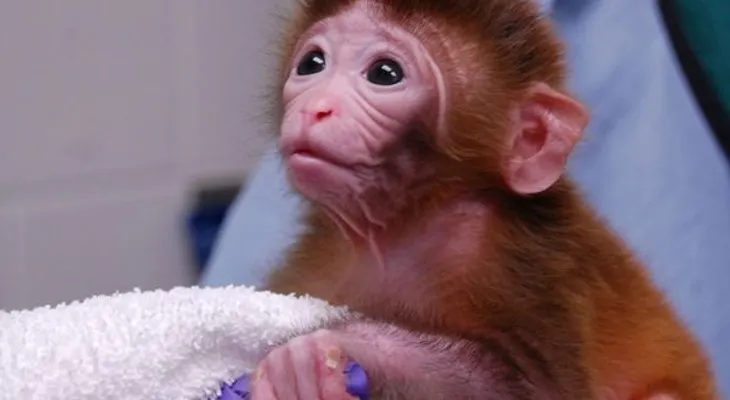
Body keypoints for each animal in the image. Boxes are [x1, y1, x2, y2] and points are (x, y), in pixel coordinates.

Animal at [248, 0, 720, 399]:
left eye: (384, 73)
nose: (317, 107)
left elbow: (549, 391)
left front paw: (333, 349)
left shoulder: (519, 263)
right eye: (312, 64)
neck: (403, 224)